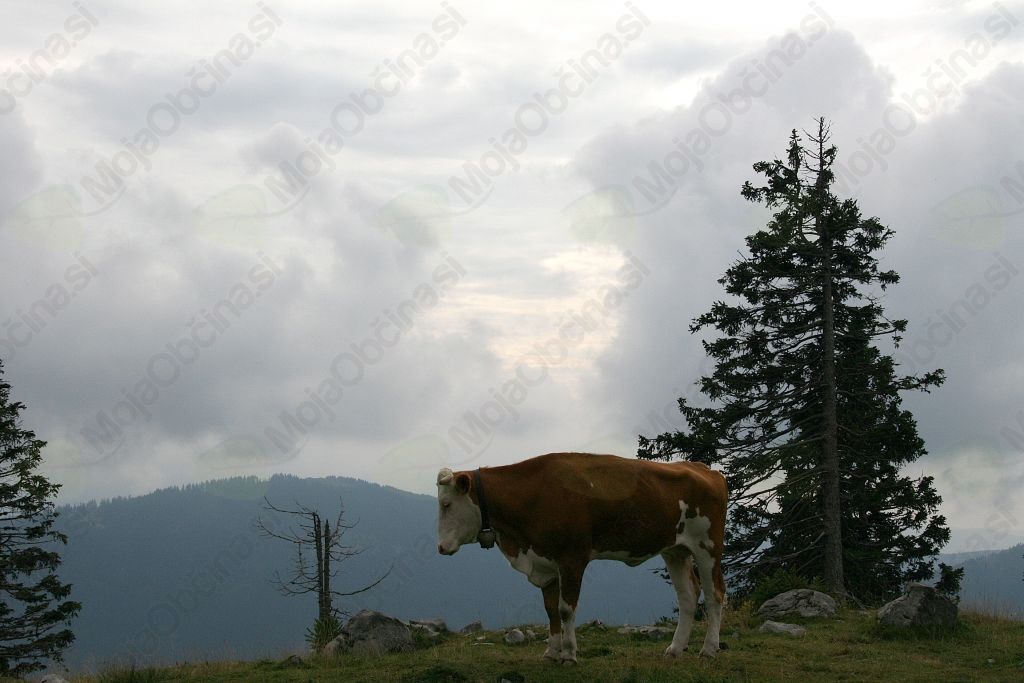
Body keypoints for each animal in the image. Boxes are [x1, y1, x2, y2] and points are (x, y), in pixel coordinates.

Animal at [436, 452, 727, 664]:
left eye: (446, 504)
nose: (440, 547)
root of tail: (705, 469)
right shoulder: (545, 562)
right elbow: (550, 610)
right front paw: (551, 653)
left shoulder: (572, 557)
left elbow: (566, 609)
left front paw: (569, 654)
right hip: (676, 550)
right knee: (688, 596)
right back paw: (675, 649)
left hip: (708, 546)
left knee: (715, 594)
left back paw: (709, 649)